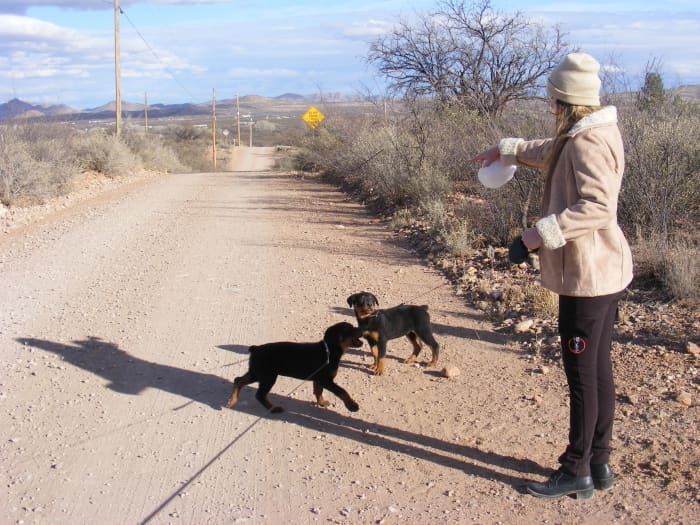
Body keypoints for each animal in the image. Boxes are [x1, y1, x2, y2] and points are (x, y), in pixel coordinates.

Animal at [227, 322, 364, 412]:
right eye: (349, 328)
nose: (363, 327)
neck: (329, 350)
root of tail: (255, 349)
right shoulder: (326, 380)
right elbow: (342, 391)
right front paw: (352, 406)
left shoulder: (318, 378)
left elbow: (318, 391)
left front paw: (321, 403)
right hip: (268, 376)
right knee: (259, 394)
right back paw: (273, 408)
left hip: (257, 372)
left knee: (238, 380)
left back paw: (232, 401)